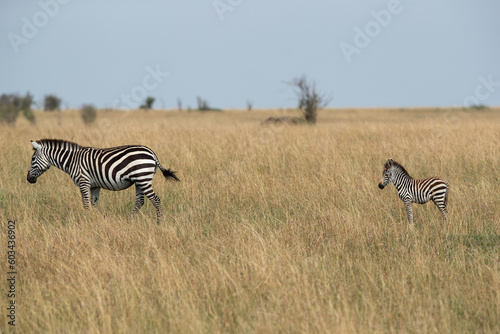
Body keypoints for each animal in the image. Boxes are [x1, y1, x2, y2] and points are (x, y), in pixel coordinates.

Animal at [26, 138, 180, 222]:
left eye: (33, 159)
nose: (28, 179)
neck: (72, 161)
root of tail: (152, 153)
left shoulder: (83, 181)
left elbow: (86, 204)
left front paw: (86, 221)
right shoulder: (95, 185)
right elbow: (94, 204)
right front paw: (102, 219)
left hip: (143, 178)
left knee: (156, 200)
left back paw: (159, 222)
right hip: (139, 181)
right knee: (140, 201)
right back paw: (128, 220)